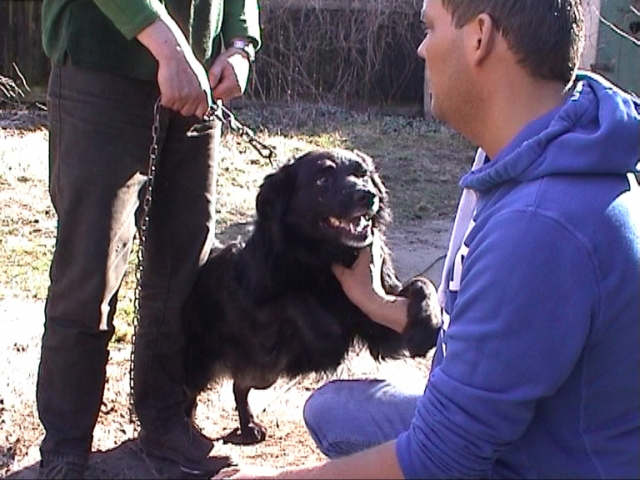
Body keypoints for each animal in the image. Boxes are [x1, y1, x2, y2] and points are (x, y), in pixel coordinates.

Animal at [180, 149, 440, 446]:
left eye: (363, 174)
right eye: (322, 179)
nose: (367, 195)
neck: (324, 259)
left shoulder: (377, 323)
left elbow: (423, 284)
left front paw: (428, 322)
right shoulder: (256, 322)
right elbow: (293, 297)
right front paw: (327, 334)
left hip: (264, 373)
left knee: (239, 385)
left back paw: (248, 426)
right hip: (207, 362)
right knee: (187, 393)